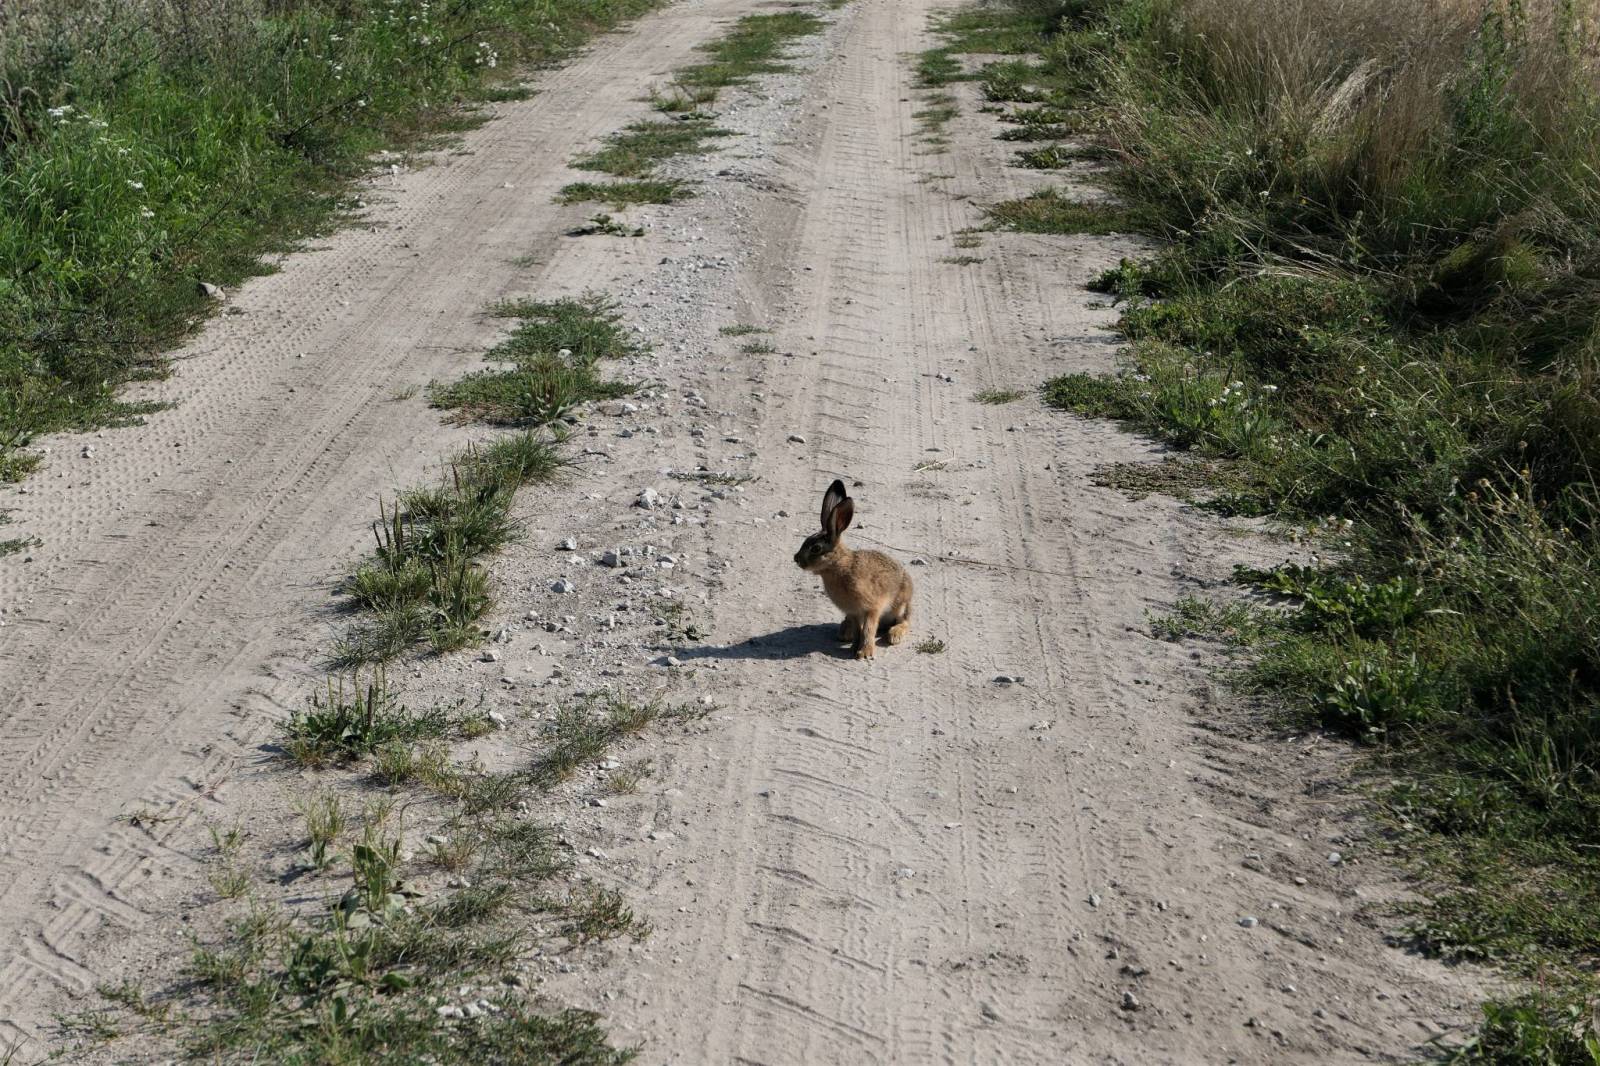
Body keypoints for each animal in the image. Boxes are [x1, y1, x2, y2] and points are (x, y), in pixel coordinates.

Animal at [793, 479, 913, 659]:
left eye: (816, 548)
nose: (796, 559)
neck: (838, 565)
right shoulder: (854, 611)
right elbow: (859, 630)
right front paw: (854, 648)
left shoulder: (872, 607)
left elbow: (869, 629)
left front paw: (864, 653)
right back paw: (845, 633)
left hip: (901, 604)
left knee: (905, 621)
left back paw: (894, 635)